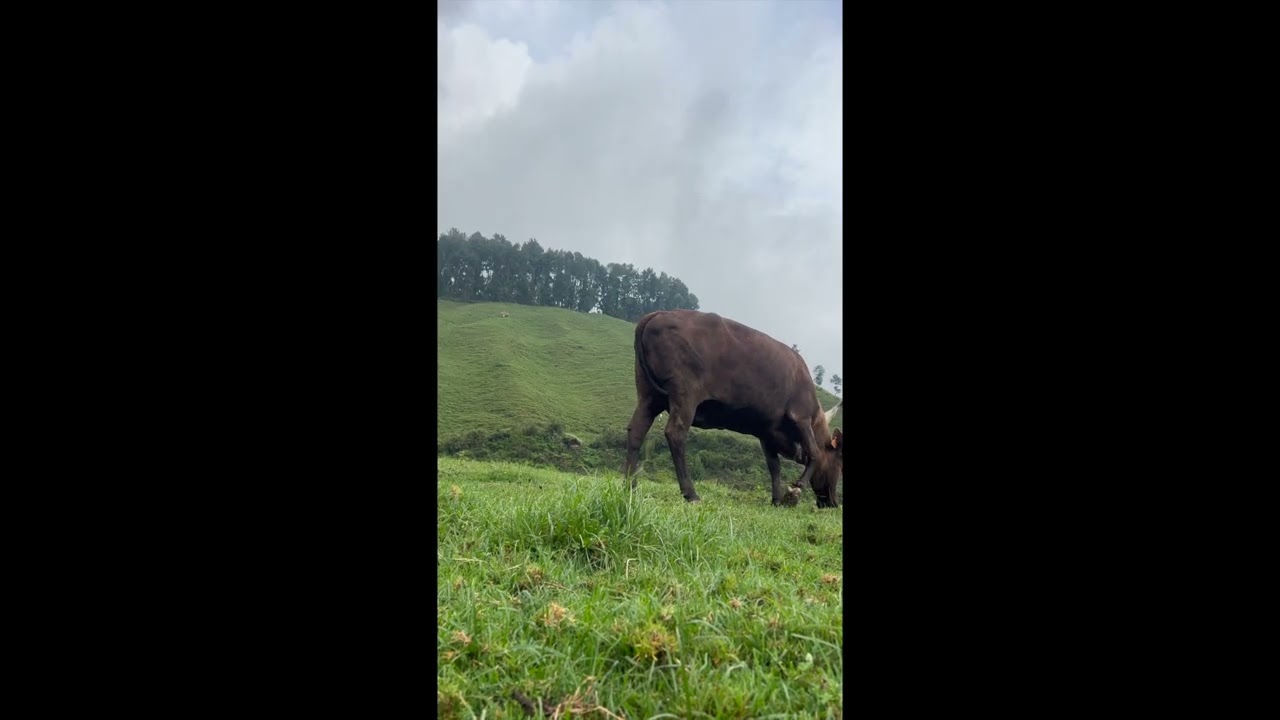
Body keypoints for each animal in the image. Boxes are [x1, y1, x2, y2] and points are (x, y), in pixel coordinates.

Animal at [622, 309, 843, 508]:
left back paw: (630, 485)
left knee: (636, 431)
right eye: (839, 462)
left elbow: (774, 466)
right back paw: (691, 494)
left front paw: (777, 499)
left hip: (649, 396)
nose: (833, 503)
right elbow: (813, 452)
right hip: (684, 395)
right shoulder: (801, 417)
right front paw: (794, 493)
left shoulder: (766, 431)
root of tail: (658, 314)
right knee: (675, 433)